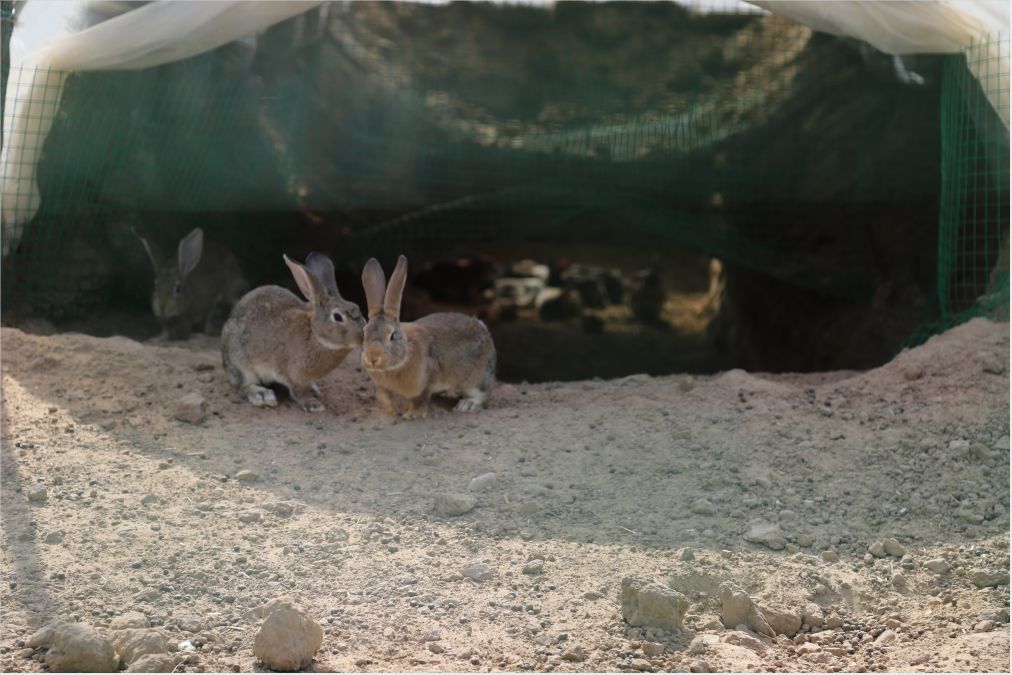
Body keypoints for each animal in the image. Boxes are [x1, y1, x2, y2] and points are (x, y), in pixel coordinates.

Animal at [223, 251, 366, 412]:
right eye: (337, 317)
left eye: (357, 307)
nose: (362, 335)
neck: (314, 334)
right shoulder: (294, 375)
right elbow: (298, 392)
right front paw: (313, 404)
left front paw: (314, 392)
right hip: (241, 362)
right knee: (242, 386)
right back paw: (262, 395)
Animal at [362, 256, 495, 418]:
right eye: (364, 333)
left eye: (393, 335)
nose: (372, 359)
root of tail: (485, 333)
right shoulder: (382, 387)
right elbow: (383, 396)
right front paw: (391, 411)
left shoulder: (427, 380)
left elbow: (421, 398)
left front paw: (412, 414)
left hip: (476, 378)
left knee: (480, 394)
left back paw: (466, 405)